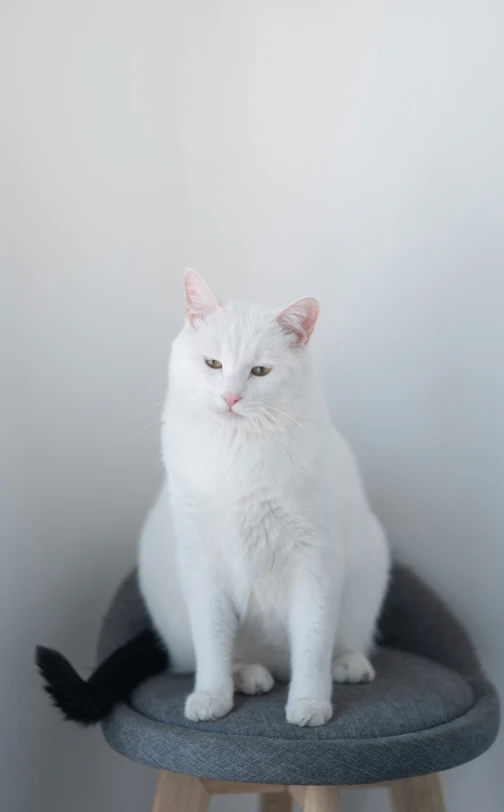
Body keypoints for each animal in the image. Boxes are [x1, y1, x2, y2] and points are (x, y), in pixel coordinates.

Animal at [138, 272, 390, 728]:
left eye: (260, 370)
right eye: (213, 364)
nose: (230, 398)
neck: (240, 447)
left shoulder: (315, 561)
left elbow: (312, 642)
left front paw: (309, 703)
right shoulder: (203, 565)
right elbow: (213, 642)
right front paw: (212, 696)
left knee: (335, 645)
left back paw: (348, 665)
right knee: (234, 656)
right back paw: (248, 675)